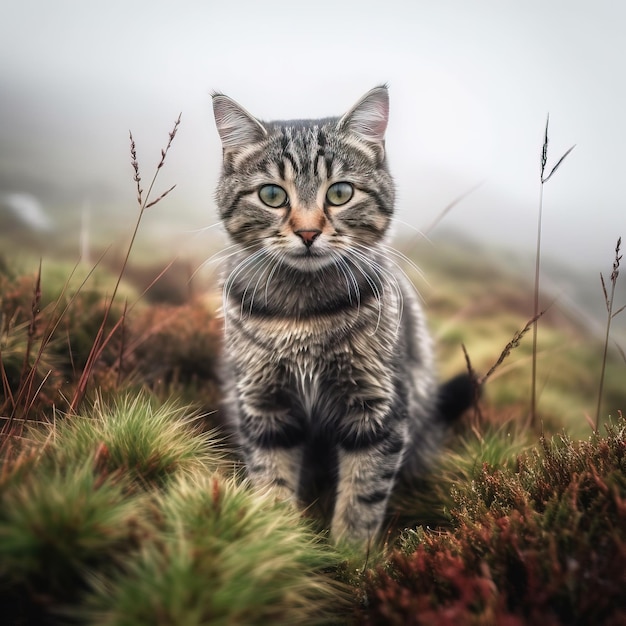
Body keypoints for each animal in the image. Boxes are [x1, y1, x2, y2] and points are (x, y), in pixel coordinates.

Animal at [210, 85, 472, 544]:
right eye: (272, 195)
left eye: (340, 193)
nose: (308, 232)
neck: (302, 312)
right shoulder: (264, 408)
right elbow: (271, 481)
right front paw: (276, 541)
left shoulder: (377, 411)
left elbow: (362, 498)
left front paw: (350, 556)